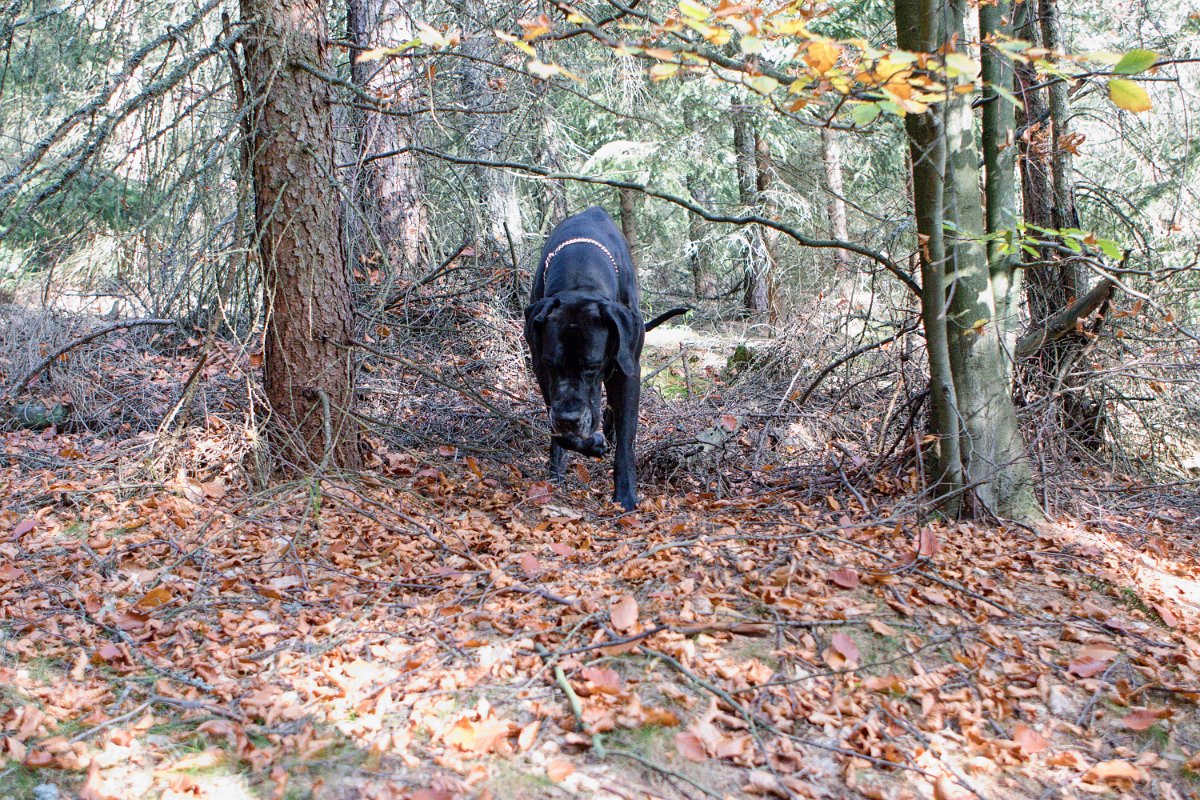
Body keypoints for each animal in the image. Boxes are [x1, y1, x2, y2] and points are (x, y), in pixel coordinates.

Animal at [523, 206, 686, 506]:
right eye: (552, 365)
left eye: (592, 366)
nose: (569, 418)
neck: (580, 277)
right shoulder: (541, 369)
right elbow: (560, 432)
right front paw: (577, 450)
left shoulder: (628, 369)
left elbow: (627, 435)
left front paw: (626, 493)